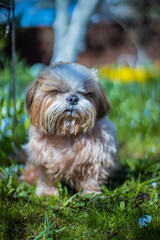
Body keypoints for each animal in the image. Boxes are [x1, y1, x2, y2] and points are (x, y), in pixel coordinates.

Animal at [21, 62, 118, 197]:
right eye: (56, 91)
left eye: (86, 93)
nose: (73, 98)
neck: (68, 134)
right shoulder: (43, 161)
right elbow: (47, 179)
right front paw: (47, 194)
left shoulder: (96, 158)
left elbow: (92, 179)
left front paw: (92, 194)